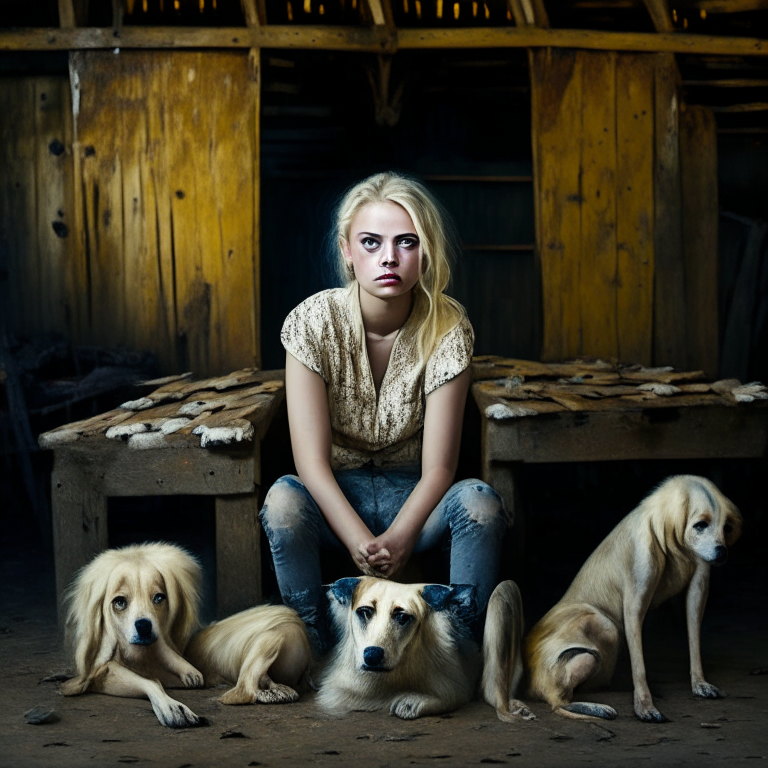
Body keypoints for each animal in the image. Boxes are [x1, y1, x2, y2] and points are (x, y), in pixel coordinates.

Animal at [61, 544, 207, 728]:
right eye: (120, 602)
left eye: (159, 598)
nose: (144, 626)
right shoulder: (103, 671)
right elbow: (152, 682)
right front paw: (172, 707)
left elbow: (164, 651)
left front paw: (186, 669)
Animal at [520, 474, 740, 720]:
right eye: (700, 525)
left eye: (726, 527)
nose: (722, 552)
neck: (669, 537)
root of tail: (532, 685)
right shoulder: (634, 603)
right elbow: (639, 665)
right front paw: (645, 706)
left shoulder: (698, 589)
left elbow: (694, 637)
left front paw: (699, 683)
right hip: (604, 627)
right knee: (558, 701)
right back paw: (596, 707)